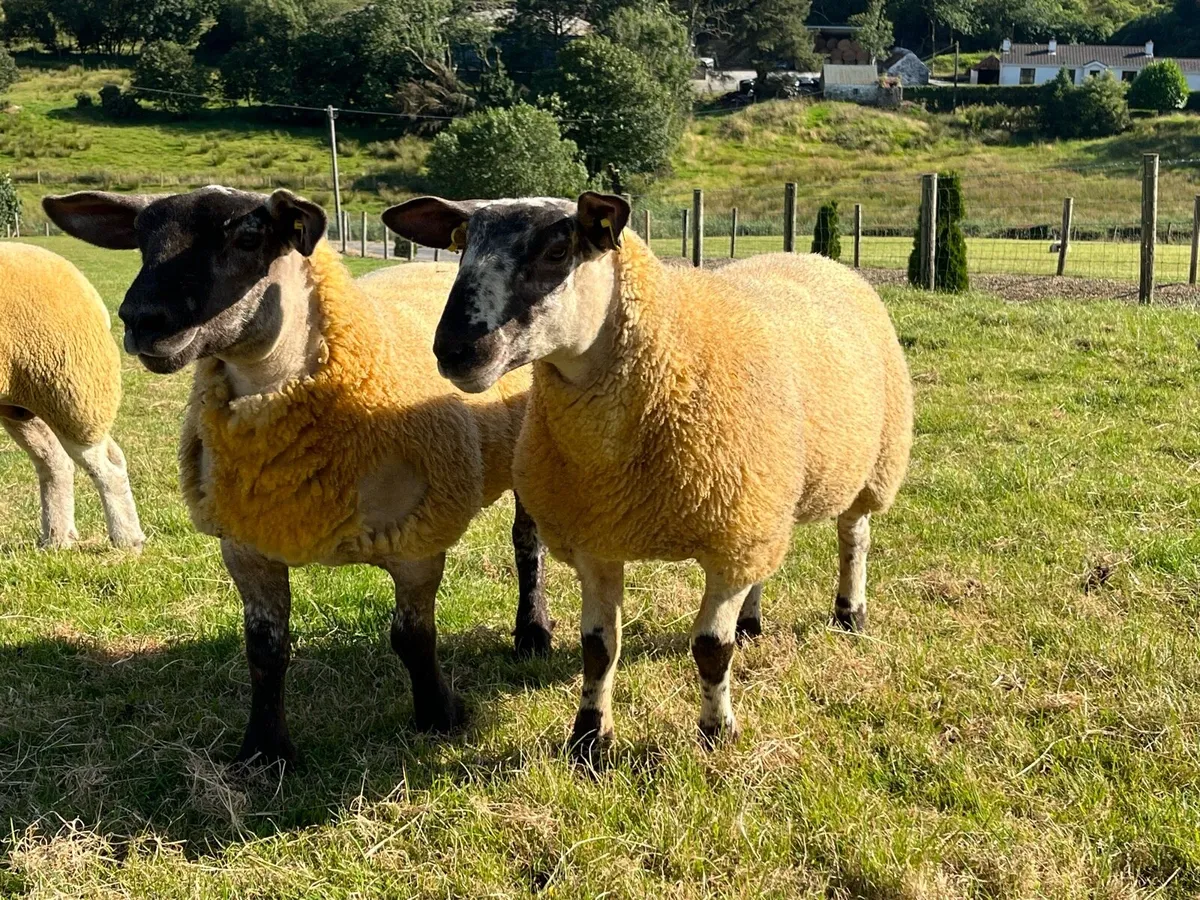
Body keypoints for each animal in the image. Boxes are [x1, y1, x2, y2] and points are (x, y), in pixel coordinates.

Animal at [0, 242, 144, 550]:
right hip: (24, 402)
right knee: (54, 461)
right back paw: (57, 539)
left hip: (74, 393)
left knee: (109, 466)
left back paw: (127, 539)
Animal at [43, 186, 552, 768]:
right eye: (142, 238)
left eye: (249, 238)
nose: (141, 320)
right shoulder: (245, 544)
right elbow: (265, 650)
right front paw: (265, 750)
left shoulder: (417, 541)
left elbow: (413, 639)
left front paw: (438, 716)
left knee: (527, 543)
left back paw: (533, 634)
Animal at [383, 192, 913, 760]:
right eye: (461, 247)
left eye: (557, 250)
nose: (453, 350)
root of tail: (814, 257)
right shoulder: (599, 538)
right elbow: (598, 648)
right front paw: (589, 741)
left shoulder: (727, 536)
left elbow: (711, 648)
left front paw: (717, 733)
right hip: (766, 501)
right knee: (766, 563)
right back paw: (752, 622)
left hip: (869, 466)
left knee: (854, 537)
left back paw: (849, 613)